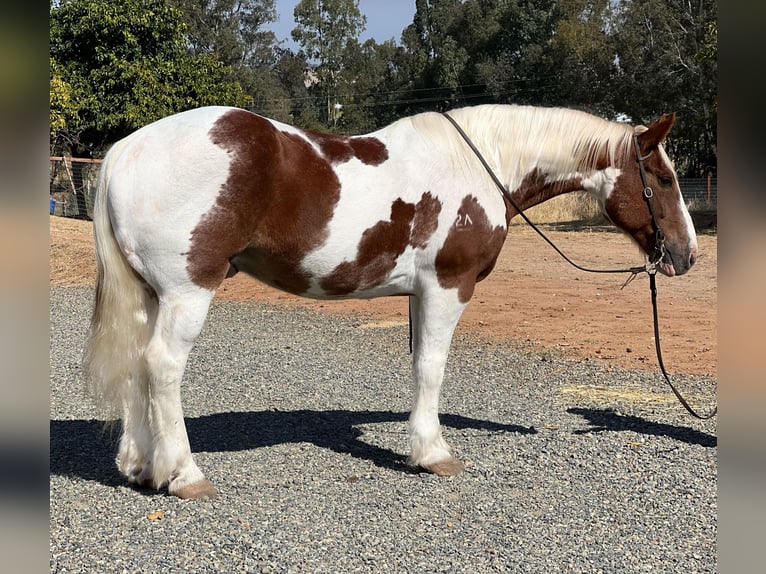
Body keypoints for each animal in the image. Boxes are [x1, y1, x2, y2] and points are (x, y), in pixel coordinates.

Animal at [81, 103, 700, 500]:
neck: (480, 163)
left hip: (151, 295)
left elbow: (419, 363)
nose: (688, 255)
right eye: (665, 179)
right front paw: (432, 453)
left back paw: (140, 467)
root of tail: (128, 148)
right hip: (188, 292)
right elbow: (431, 367)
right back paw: (184, 475)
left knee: (136, 364)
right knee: (162, 367)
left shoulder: (421, 293)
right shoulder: (449, 286)